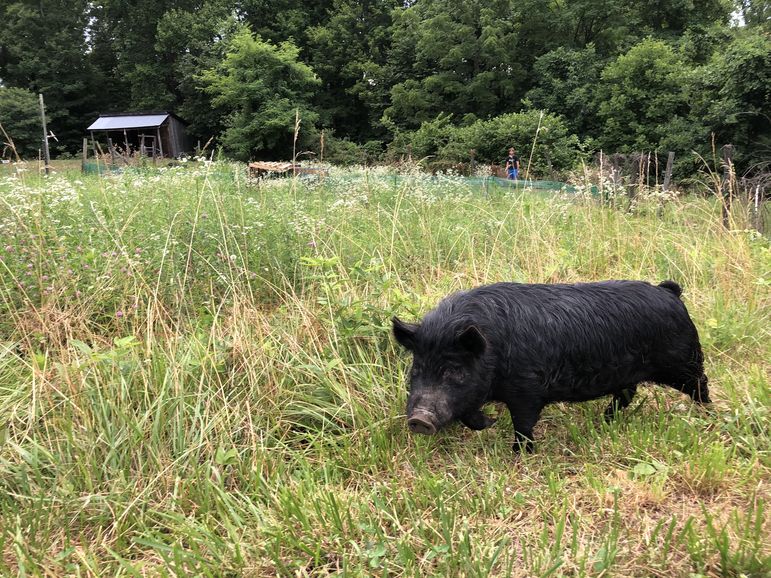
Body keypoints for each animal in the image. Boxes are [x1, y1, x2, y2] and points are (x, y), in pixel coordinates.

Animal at [392, 280, 711, 452]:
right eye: (417, 369)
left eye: (454, 370)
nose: (419, 420)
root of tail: (669, 291)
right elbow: (471, 416)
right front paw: (490, 423)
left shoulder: (527, 389)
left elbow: (523, 424)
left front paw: (520, 454)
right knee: (627, 393)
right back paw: (606, 420)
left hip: (684, 359)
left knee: (701, 384)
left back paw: (709, 416)